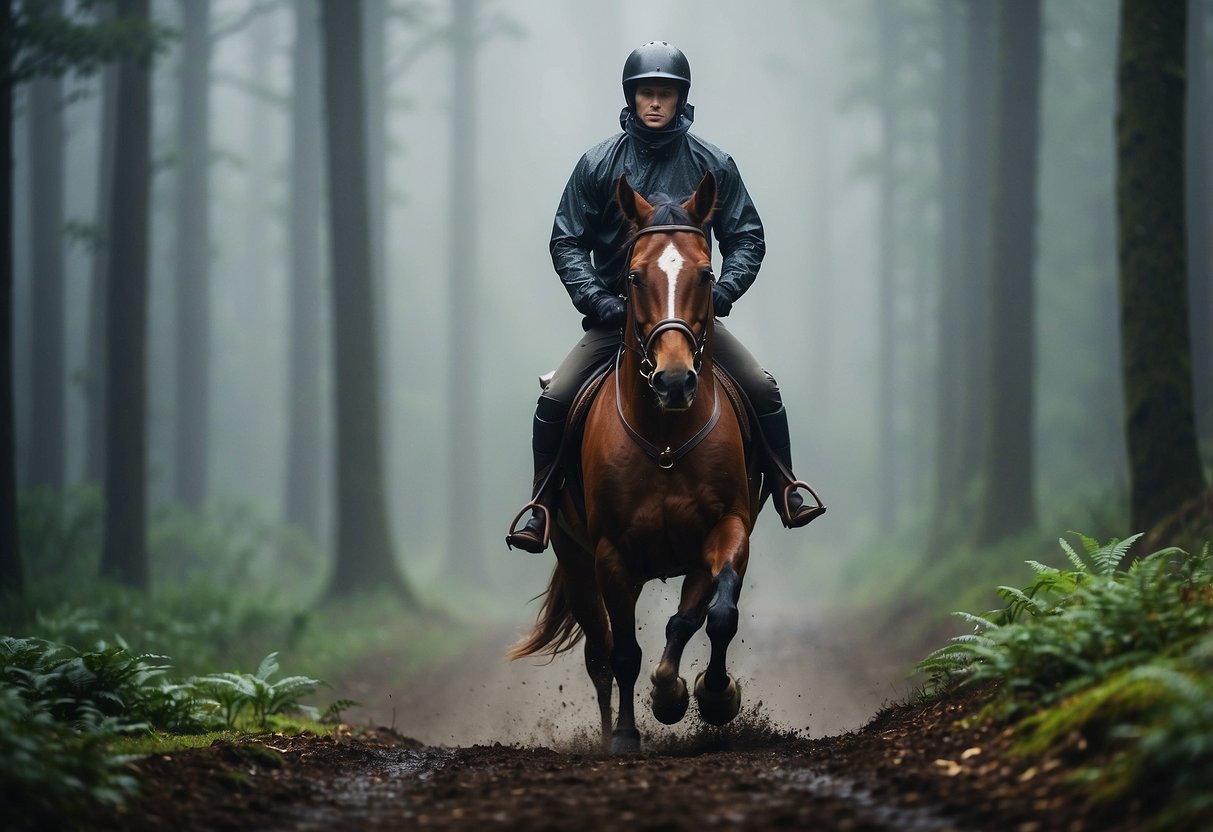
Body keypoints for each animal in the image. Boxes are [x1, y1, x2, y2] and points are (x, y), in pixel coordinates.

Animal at [504, 171, 756, 756]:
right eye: (634, 276)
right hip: (576, 560)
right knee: (600, 654)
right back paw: (603, 733)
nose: (674, 380)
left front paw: (703, 694)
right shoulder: (610, 554)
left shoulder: (727, 529)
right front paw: (625, 735)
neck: (665, 440)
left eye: (706, 274)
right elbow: (623, 655)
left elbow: (709, 616)